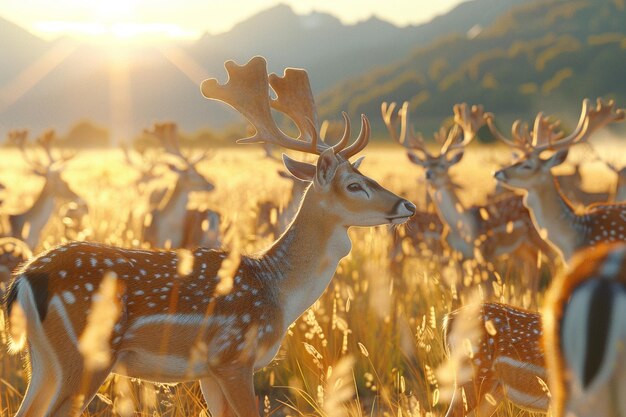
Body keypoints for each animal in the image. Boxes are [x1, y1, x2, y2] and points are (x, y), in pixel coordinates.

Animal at [4, 55, 414, 416]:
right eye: (354, 185)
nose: (407, 204)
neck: (279, 293)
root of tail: (23, 281)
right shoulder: (234, 357)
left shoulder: (208, 372)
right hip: (86, 355)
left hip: (42, 362)